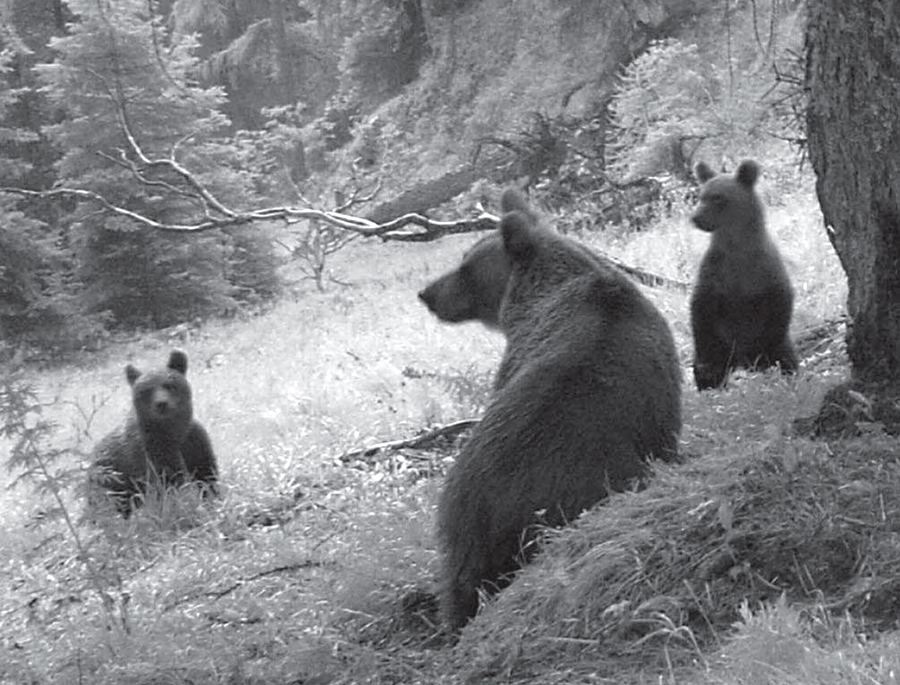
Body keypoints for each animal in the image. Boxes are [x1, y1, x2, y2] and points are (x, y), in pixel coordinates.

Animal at [87, 349, 218, 517]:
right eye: (147, 390)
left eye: (169, 385)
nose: (161, 403)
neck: (173, 431)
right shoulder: (151, 449)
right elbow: (169, 482)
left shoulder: (194, 441)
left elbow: (206, 474)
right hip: (109, 480)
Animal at [689, 159, 798, 390]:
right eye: (700, 196)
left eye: (717, 197)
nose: (695, 218)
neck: (737, 250)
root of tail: (739, 361)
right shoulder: (714, 272)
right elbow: (700, 308)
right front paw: (707, 369)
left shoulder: (766, 271)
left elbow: (781, 301)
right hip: (724, 343)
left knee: (786, 357)